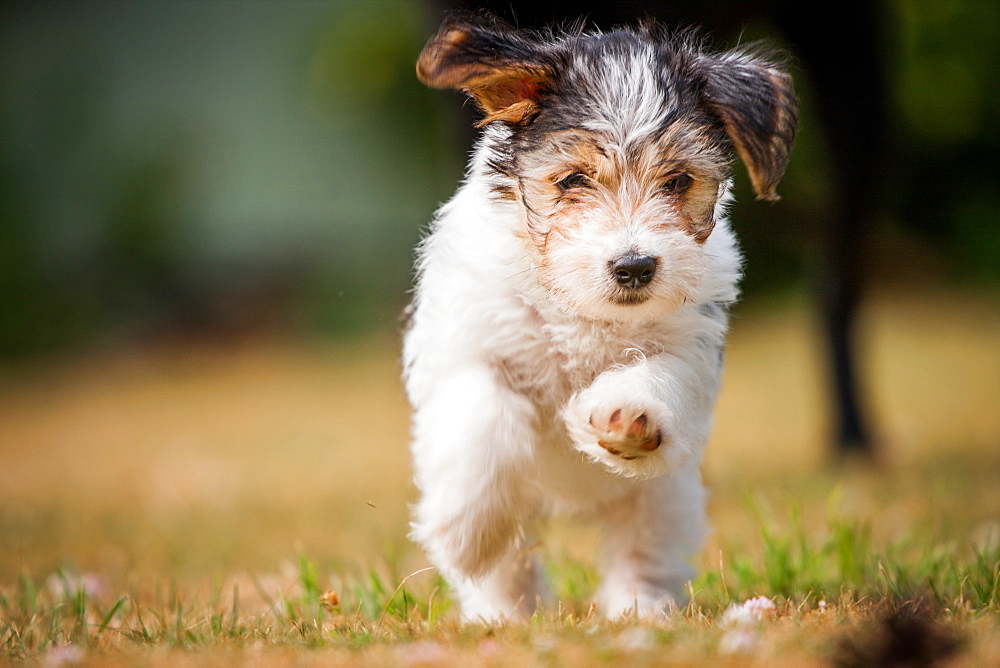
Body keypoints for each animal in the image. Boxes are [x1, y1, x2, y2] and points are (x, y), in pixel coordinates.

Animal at [400, 14, 796, 620]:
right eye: (572, 180)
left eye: (678, 181)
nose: (634, 267)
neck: (580, 312)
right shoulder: (467, 344)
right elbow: (484, 411)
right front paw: (467, 533)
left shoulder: (691, 344)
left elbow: (659, 372)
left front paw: (628, 416)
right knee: (509, 564)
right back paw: (503, 609)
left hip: (663, 499)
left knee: (643, 550)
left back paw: (639, 608)